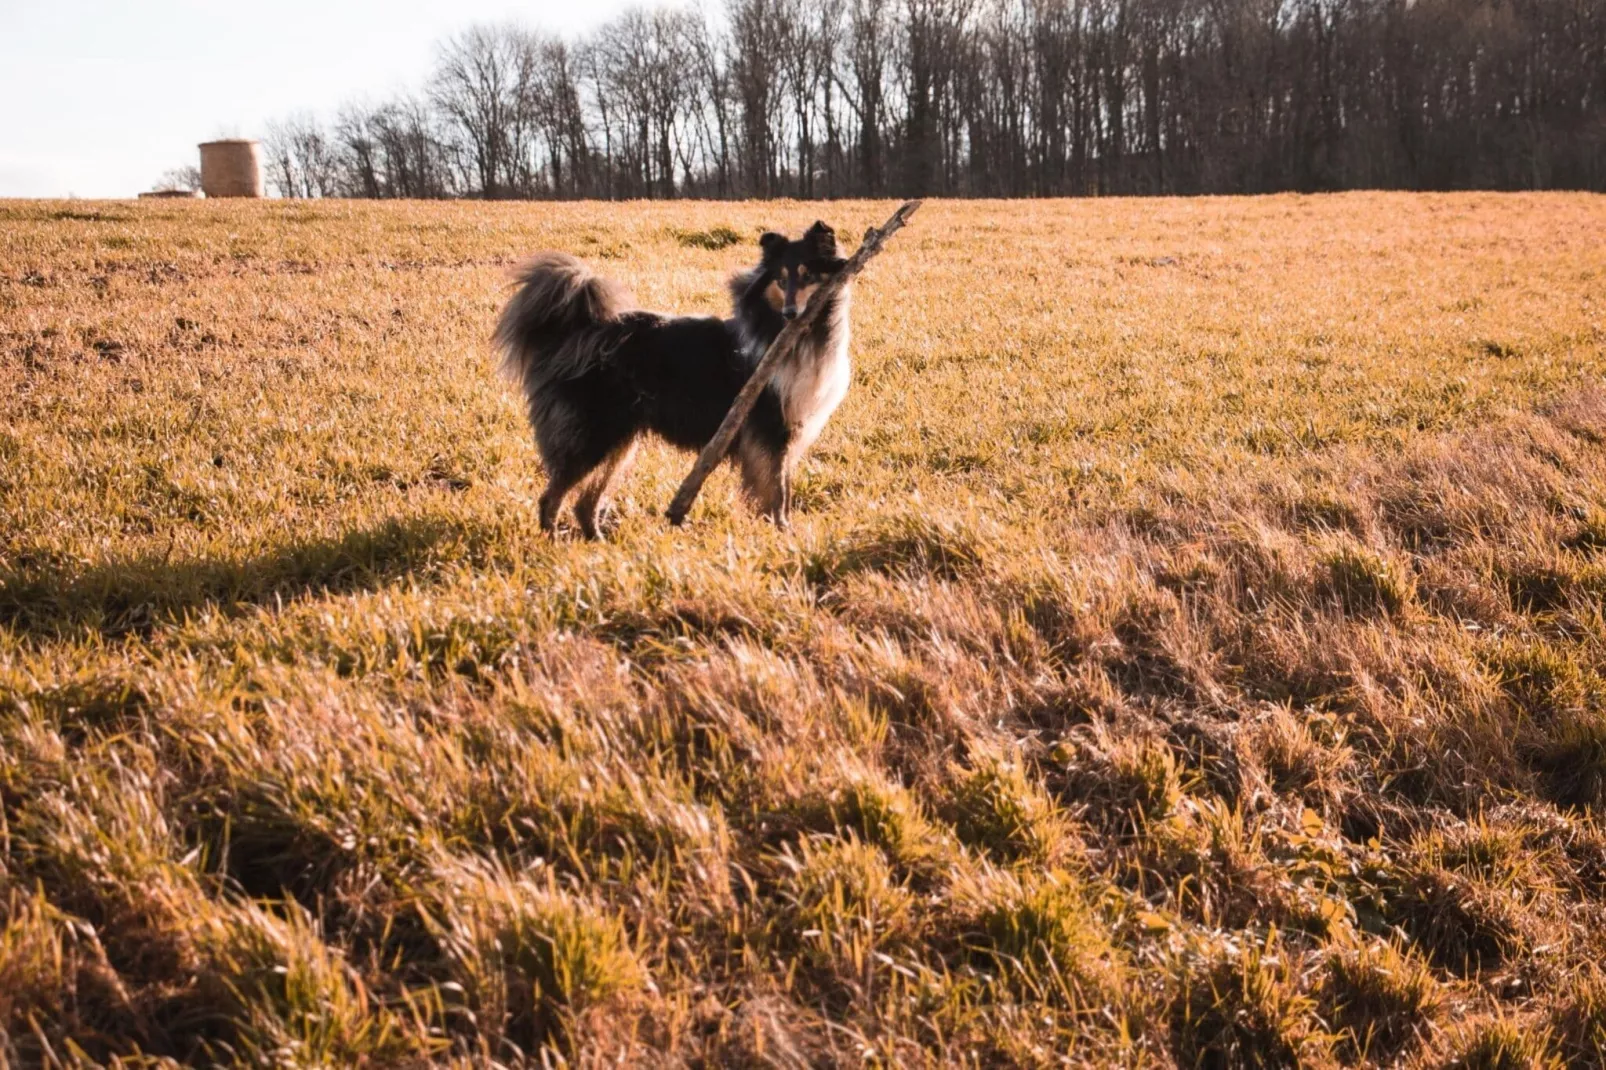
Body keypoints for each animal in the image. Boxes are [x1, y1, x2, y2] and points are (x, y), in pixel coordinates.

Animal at [494, 218, 854, 533]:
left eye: (808, 276)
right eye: (781, 280)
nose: (791, 313)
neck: (796, 335)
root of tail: (575, 332)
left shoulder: (789, 429)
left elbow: (784, 488)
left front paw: (782, 529)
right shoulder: (770, 426)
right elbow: (777, 492)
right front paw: (782, 533)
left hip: (619, 442)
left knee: (585, 502)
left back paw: (596, 540)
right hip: (595, 434)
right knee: (551, 498)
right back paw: (553, 541)